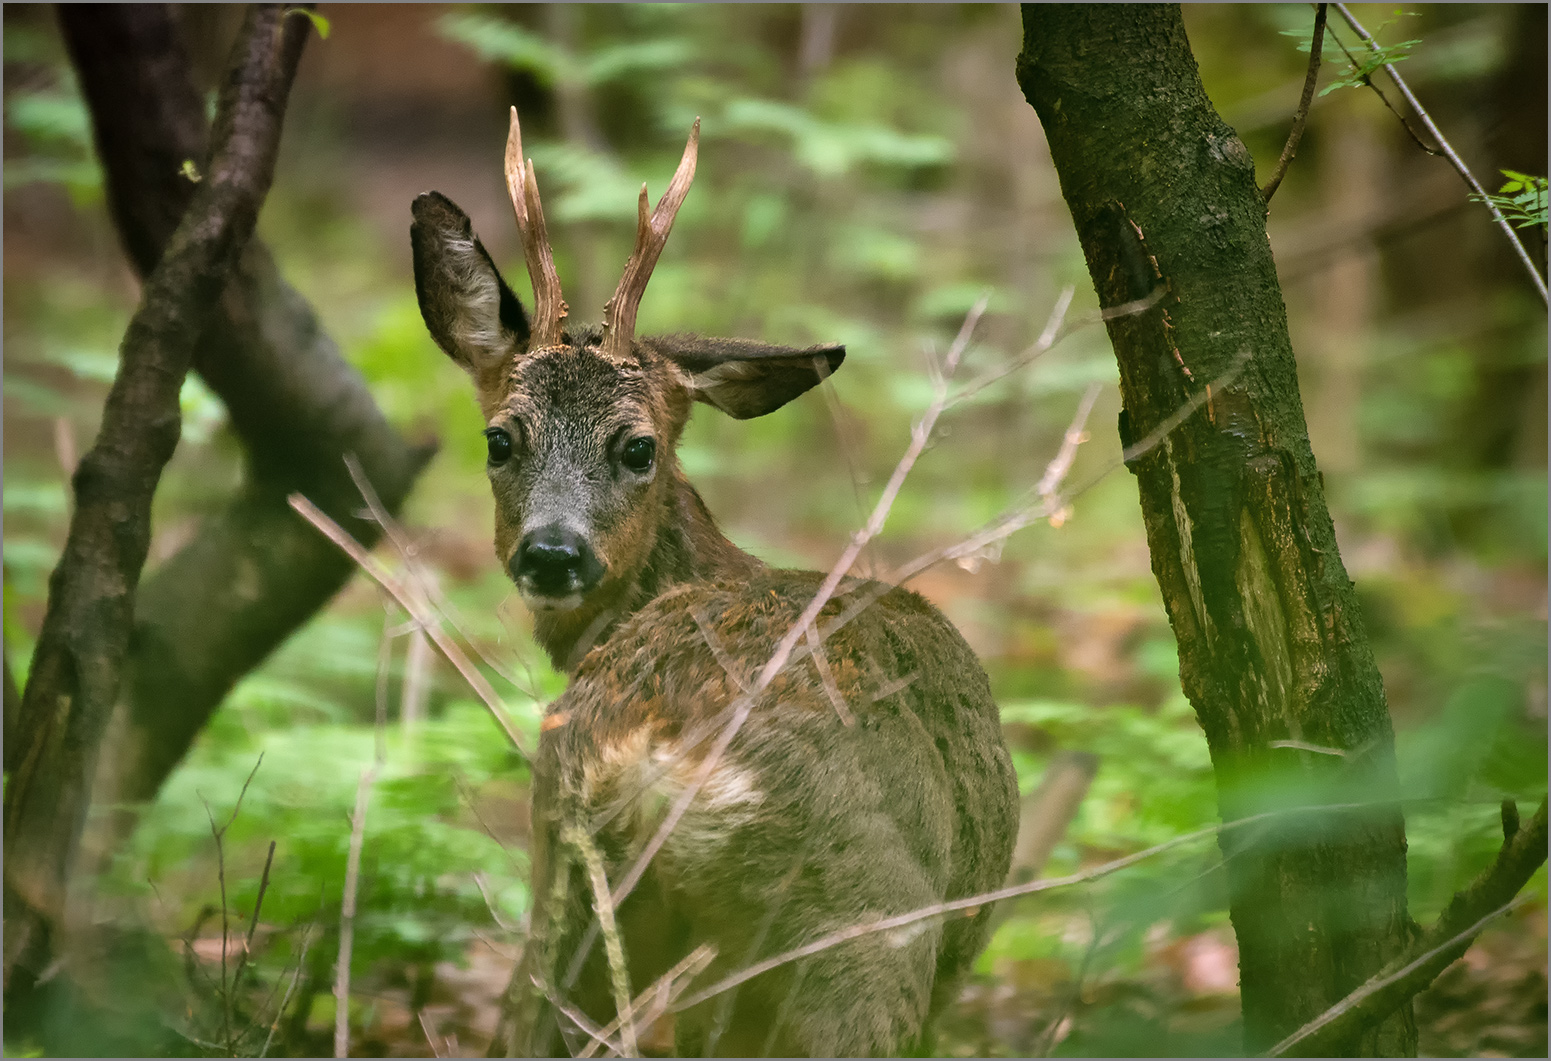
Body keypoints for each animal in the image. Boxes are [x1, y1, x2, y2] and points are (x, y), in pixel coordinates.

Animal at [412, 111, 1017, 1054]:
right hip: (865, 927)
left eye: (638, 446)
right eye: (500, 438)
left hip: (565, 876)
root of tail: (653, 751)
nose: (552, 553)